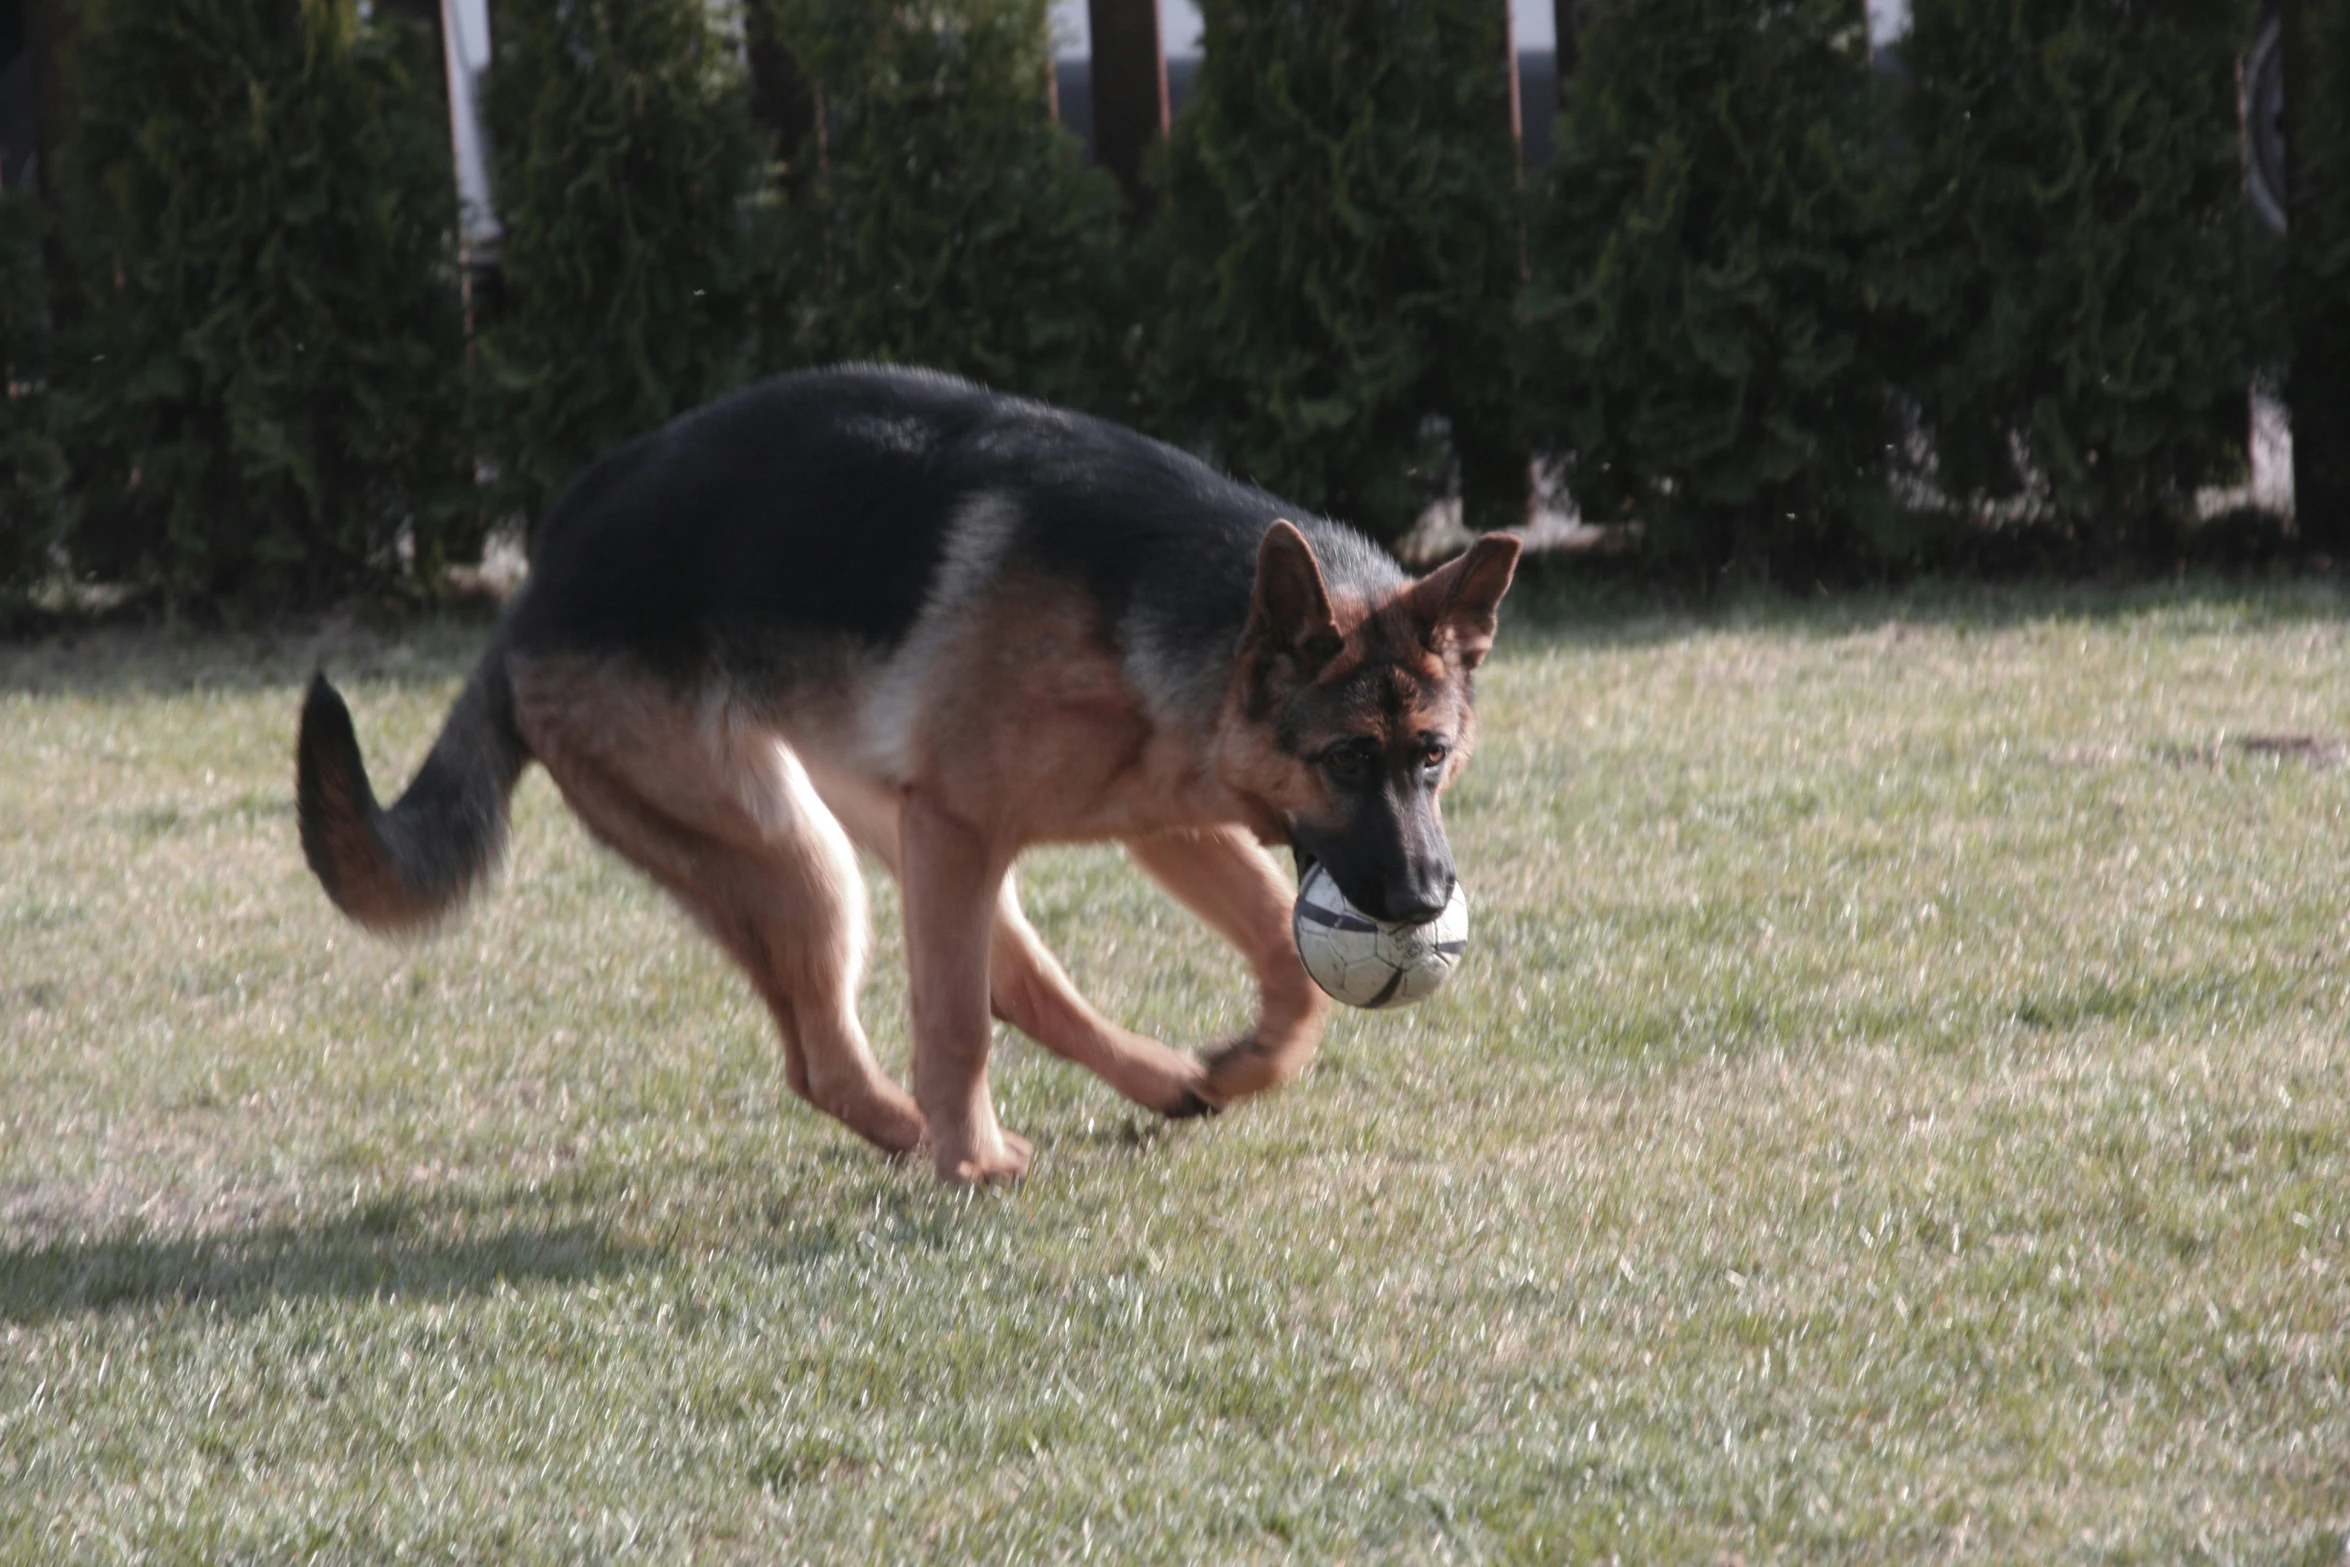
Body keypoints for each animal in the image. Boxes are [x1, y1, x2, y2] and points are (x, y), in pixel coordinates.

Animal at [303, 368, 1522, 1174]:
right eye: (1346, 757)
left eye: (1432, 758)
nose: (1426, 902)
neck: (1171, 622)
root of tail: (531, 596)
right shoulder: (966, 826)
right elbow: (949, 1017)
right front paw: (970, 1165)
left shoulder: (1153, 818)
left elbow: (1280, 944)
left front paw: (1250, 1061)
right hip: (803, 856)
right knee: (838, 1058)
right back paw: (936, 1140)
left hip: (875, 832)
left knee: (1015, 987)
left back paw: (1153, 1084)